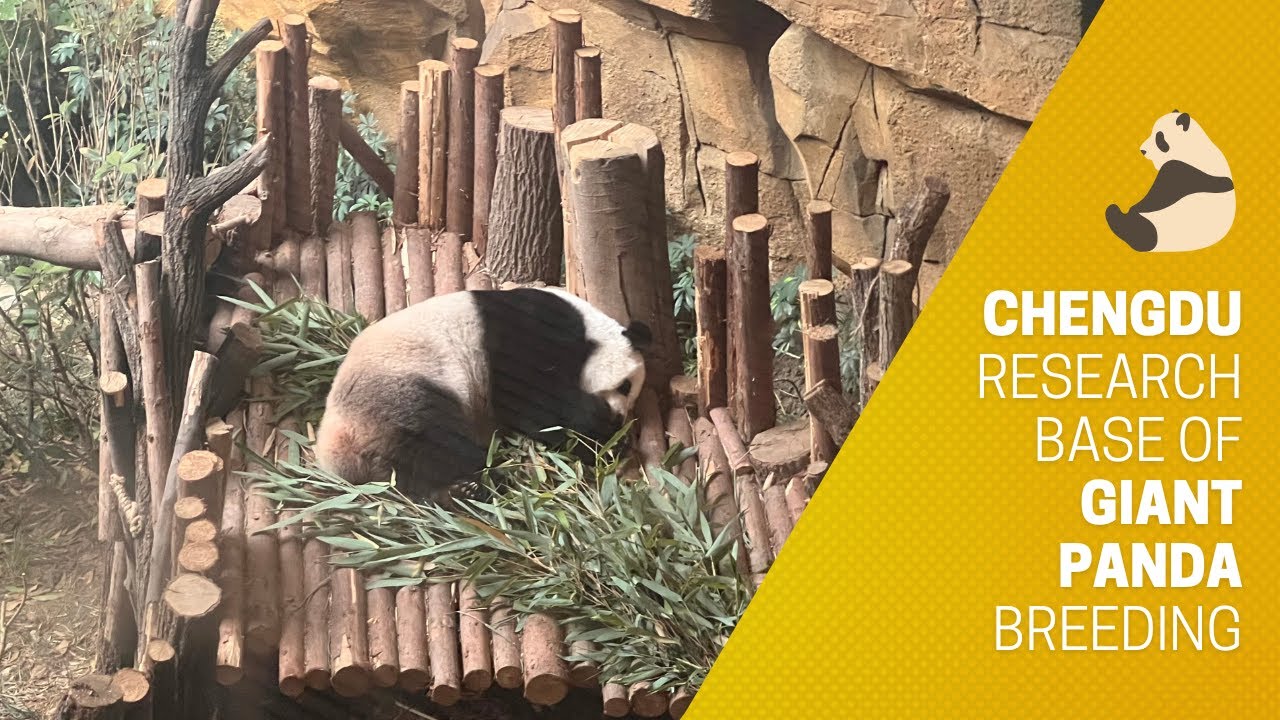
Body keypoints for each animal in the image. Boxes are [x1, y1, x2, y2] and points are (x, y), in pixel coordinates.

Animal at [313, 287, 650, 499]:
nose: (619, 417)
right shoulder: (529, 331)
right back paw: (484, 481)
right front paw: (602, 440)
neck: (588, 330)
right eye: (624, 386)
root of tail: (335, 450)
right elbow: (530, 402)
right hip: (399, 392)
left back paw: (459, 491)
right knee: (437, 441)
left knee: (408, 472)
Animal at [1105, 110, 1235, 253]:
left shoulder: (1182, 171)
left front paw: (1132, 208)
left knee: (1137, 228)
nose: (1143, 150)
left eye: (1159, 137)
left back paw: (1116, 212)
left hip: (1156, 229)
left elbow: (1158, 196)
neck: (1193, 148)